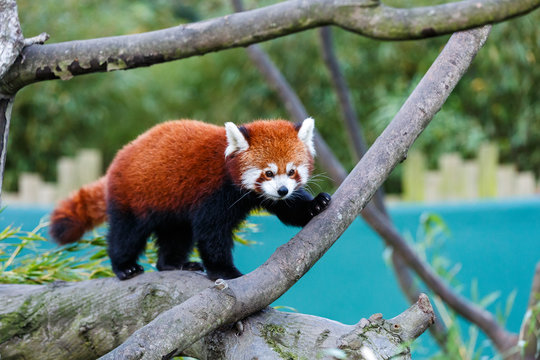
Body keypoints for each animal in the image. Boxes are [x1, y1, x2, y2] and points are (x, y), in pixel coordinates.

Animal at [48, 118, 332, 282]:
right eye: (269, 172)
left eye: (291, 171)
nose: (282, 189)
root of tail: (118, 159)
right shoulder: (213, 193)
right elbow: (211, 234)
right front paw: (225, 271)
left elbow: (290, 208)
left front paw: (315, 204)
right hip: (133, 197)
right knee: (126, 235)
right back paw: (125, 266)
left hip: (171, 209)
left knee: (176, 236)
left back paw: (173, 264)